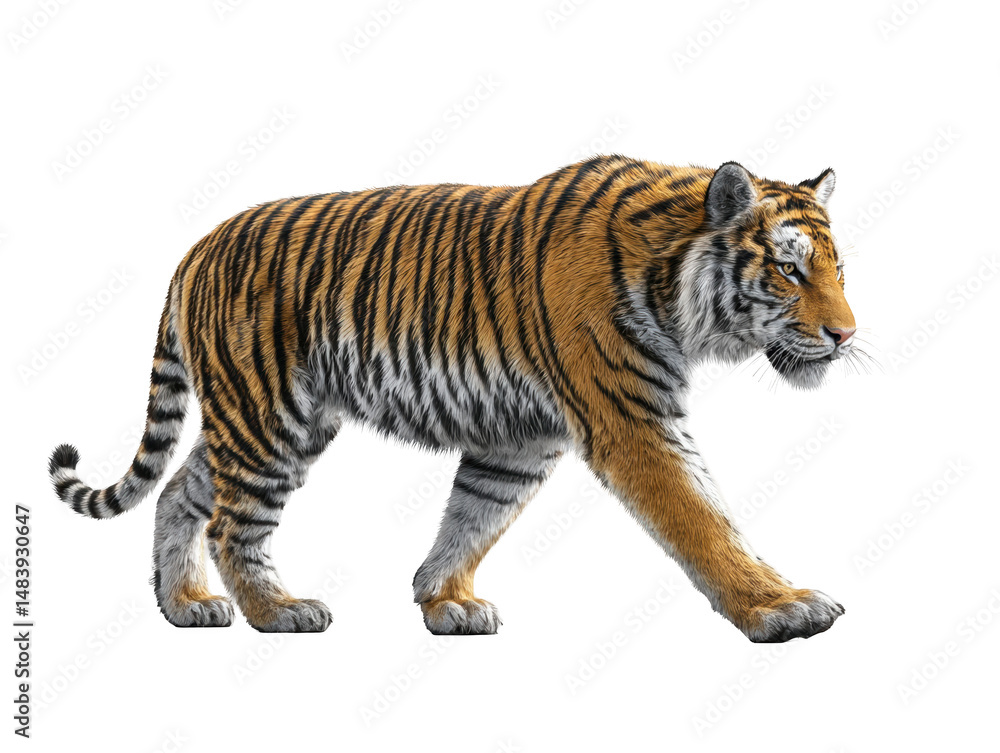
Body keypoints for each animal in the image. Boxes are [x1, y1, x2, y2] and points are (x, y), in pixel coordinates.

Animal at [48, 155, 858, 641]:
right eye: (788, 269)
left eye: (839, 270)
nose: (847, 335)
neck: (670, 278)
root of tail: (197, 247)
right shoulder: (634, 422)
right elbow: (704, 520)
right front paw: (782, 605)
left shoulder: (520, 437)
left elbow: (475, 515)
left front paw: (446, 600)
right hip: (267, 416)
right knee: (230, 522)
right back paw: (278, 610)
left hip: (271, 420)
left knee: (179, 491)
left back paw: (186, 605)